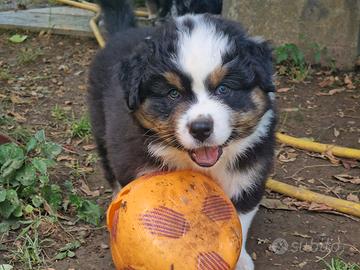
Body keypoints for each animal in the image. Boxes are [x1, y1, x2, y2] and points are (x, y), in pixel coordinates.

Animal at [88, 1, 278, 268]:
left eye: (224, 89)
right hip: (100, 127)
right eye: (173, 94)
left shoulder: (249, 173)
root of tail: (123, 33)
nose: (201, 128)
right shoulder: (136, 162)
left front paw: (239, 260)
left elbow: (239, 217)